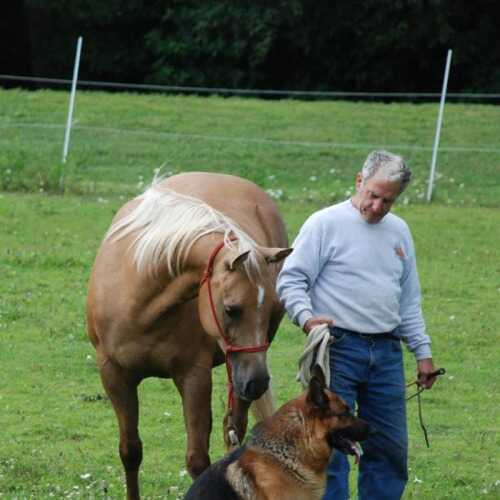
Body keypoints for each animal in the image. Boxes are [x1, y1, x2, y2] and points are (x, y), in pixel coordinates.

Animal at [85, 173, 290, 500]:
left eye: (270, 308)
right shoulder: (114, 374)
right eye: (232, 309)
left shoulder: (195, 376)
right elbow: (130, 451)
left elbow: (197, 461)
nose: (258, 382)